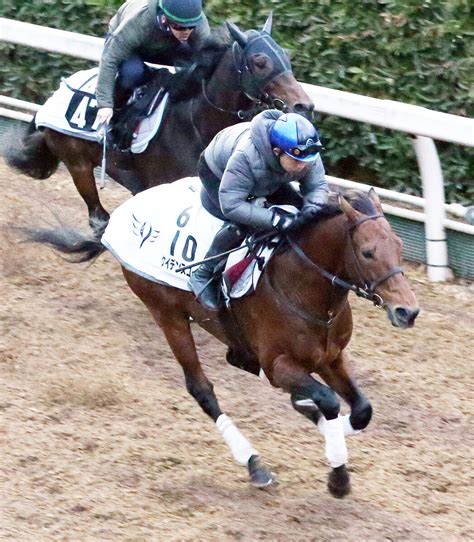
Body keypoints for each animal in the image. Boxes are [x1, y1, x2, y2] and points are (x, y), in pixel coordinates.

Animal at [6, 16, 314, 234]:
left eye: (286, 56)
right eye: (260, 62)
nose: (304, 105)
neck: (197, 125)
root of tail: (55, 94)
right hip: (78, 164)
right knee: (98, 216)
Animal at [20, 188, 418, 498]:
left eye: (399, 246)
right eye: (367, 252)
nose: (408, 311)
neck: (304, 286)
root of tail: (119, 219)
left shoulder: (331, 357)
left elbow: (361, 409)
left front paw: (322, 423)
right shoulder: (280, 365)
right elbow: (330, 402)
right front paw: (337, 476)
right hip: (167, 314)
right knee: (201, 389)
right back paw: (254, 464)